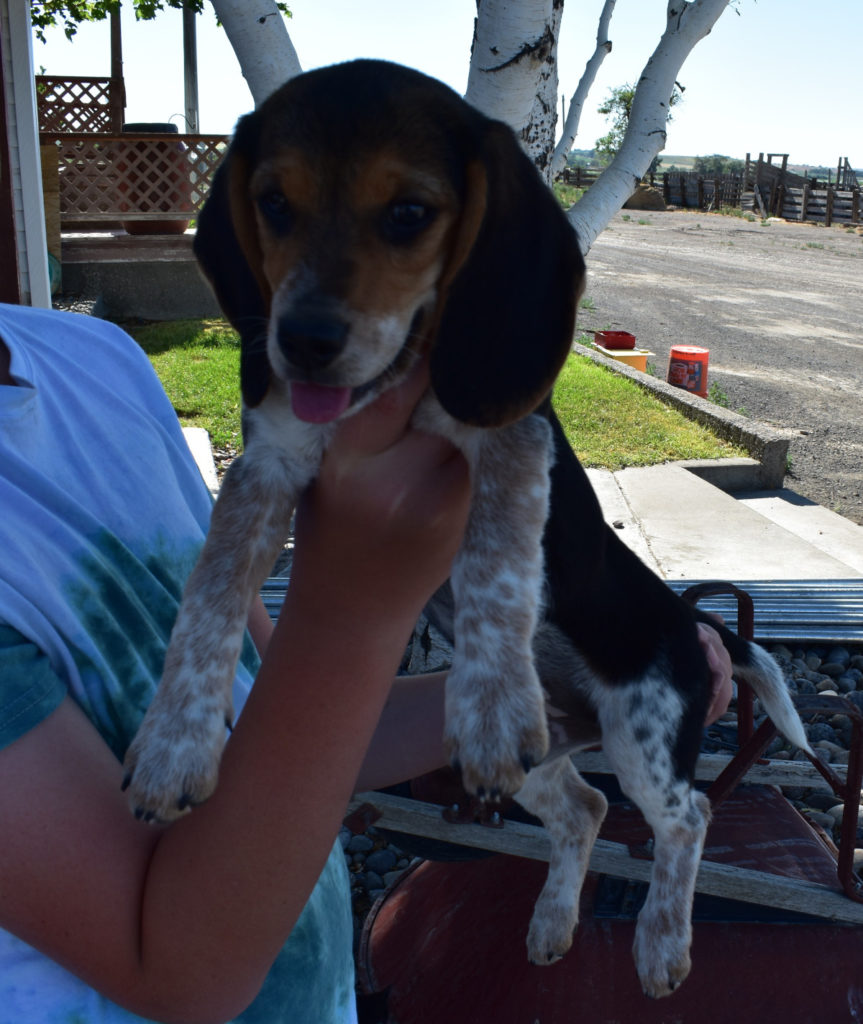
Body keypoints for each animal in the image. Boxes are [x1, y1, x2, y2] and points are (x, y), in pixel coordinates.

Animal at [123, 61, 810, 999]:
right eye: (271, 203)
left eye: (408, 213)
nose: (299, 344)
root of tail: (688, 619)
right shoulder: (264, 467)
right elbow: (208, 593)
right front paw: (172, 745)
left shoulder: (509, 446)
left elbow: (495, 564)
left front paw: (487, 699)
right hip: (546, 759)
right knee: (587, 808)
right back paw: (553, 922)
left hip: (640, 731)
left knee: (688, 815)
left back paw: (661, 943)